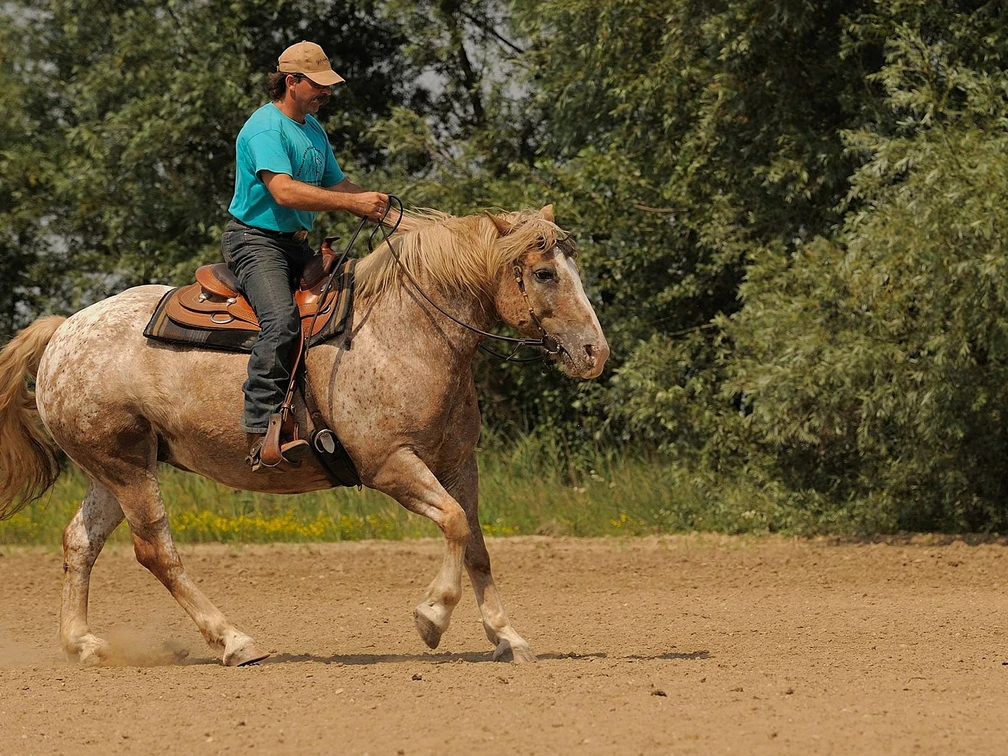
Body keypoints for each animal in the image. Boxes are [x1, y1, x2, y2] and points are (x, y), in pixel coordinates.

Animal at [0, 205, 609, 666]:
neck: (405, 331)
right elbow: (456, 524)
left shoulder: (459, 463)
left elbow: (477, 544)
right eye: (545, 273)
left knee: (80, 541)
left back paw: (83, 644)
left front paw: (507, 637)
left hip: (113, 468)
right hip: (127, 467)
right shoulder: (390, 464)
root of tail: (63, 331)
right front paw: (431, 617)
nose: (594, 353)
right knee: (157, 551)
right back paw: (234, 641)